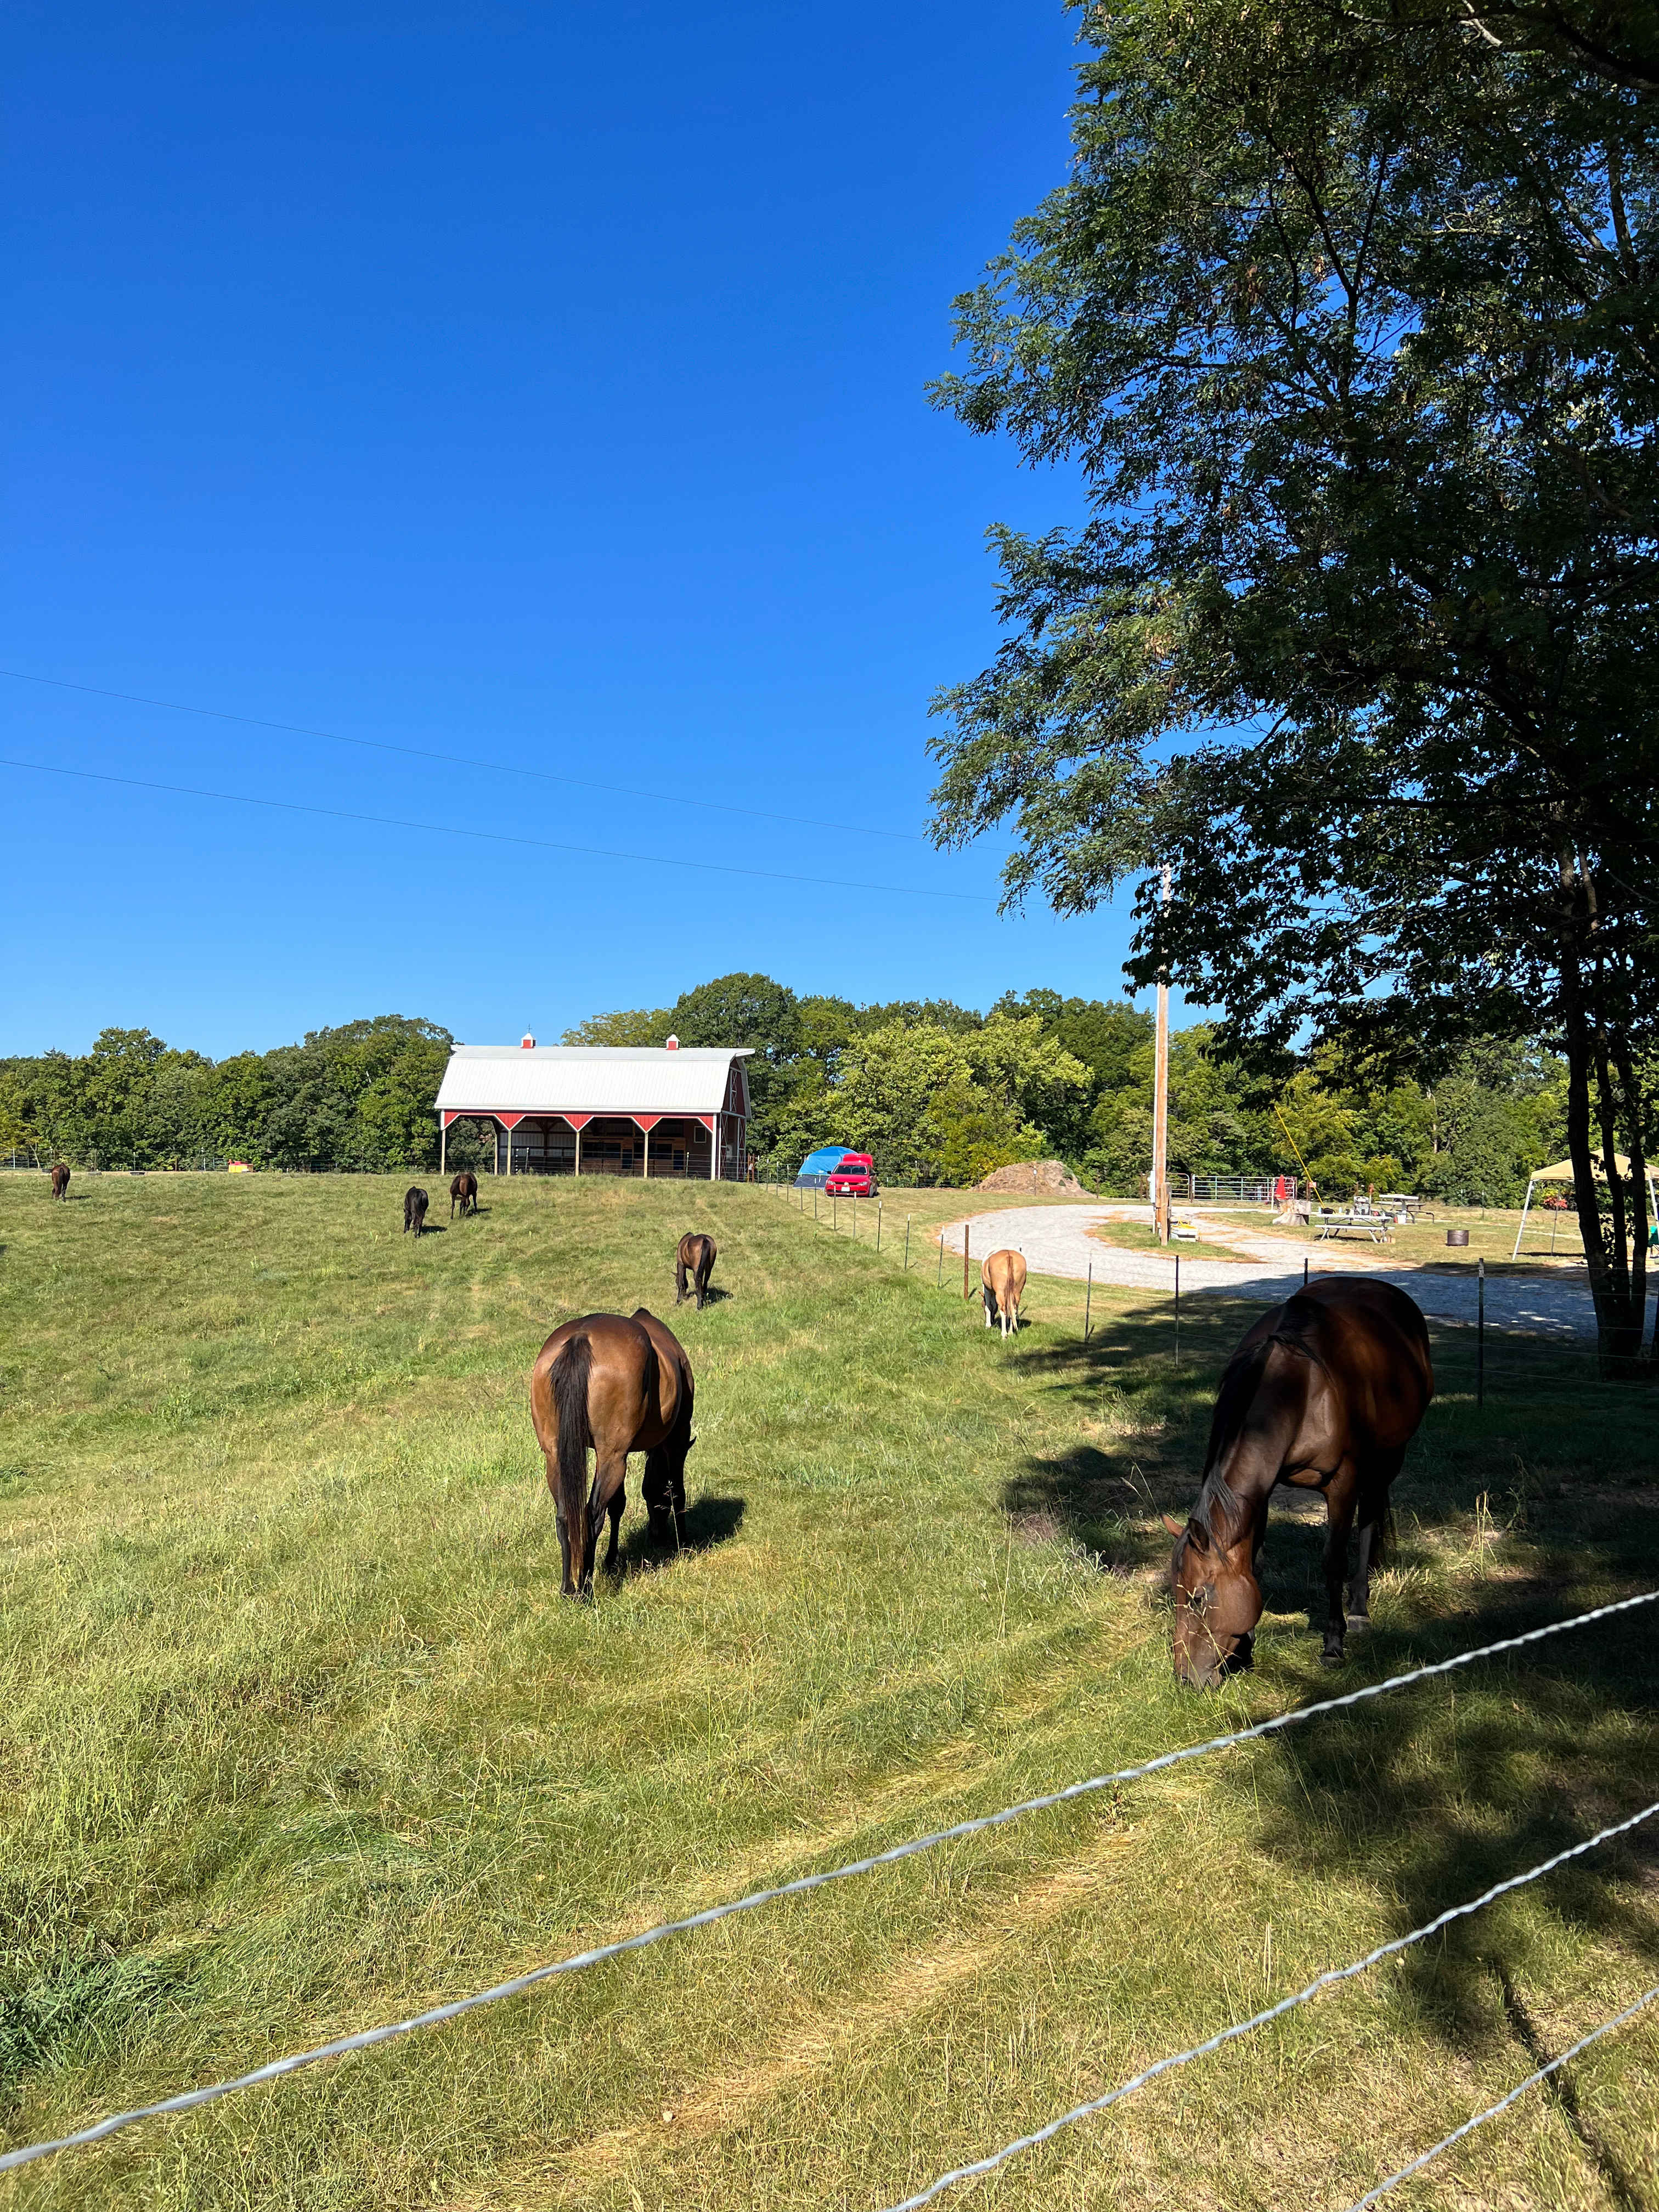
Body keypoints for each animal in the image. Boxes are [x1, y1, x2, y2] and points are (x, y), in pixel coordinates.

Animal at [529, 1309, 695, 1597]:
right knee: (592, 1515)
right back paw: (584, 1588)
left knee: (566, 1517)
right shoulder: (676, 1439)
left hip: (558, 1456)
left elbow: (618, 1505)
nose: (657, 1534)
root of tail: (581, 1337)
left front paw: (611, 1560)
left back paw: (568, 1587)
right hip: (613, 1457)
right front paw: (683, 1543)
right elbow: (676, 1491)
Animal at [675, 1231, 717, 1310]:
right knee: (704, 1284)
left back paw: (699, 1306)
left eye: (675, 1281)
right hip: (709, 1269)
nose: (685, 1296)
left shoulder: (681, 1265)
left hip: (696, 1270)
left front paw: (678, 1302)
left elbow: (680, 1284)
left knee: (698, 1284)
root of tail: (705, 1239)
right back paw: (702, 1303)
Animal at [977, 1248, 1026, 1337]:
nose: (992, 1321)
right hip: (1017, 1292)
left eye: (982, 1305)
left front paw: (988, 1325)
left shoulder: (987, 1290)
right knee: (1014, 1310)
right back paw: (1010, 1332)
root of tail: (1009, 1255)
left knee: (1003, 1310)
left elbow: (988, 1307)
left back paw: (1004, 1334)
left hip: (1000, 1292)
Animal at [1164, 1276, 1433, 1686]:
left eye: (1199, 1597)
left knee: (1370, 1519)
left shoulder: (1342, 1484)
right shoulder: (1263, 1489)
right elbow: (1254, 1562)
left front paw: (1334, 1644)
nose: (1185, 1678)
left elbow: (1333, 1561)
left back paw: (1359, 1608)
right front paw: (1246, 1651)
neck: (1298, 1390)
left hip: (1389, 1457)